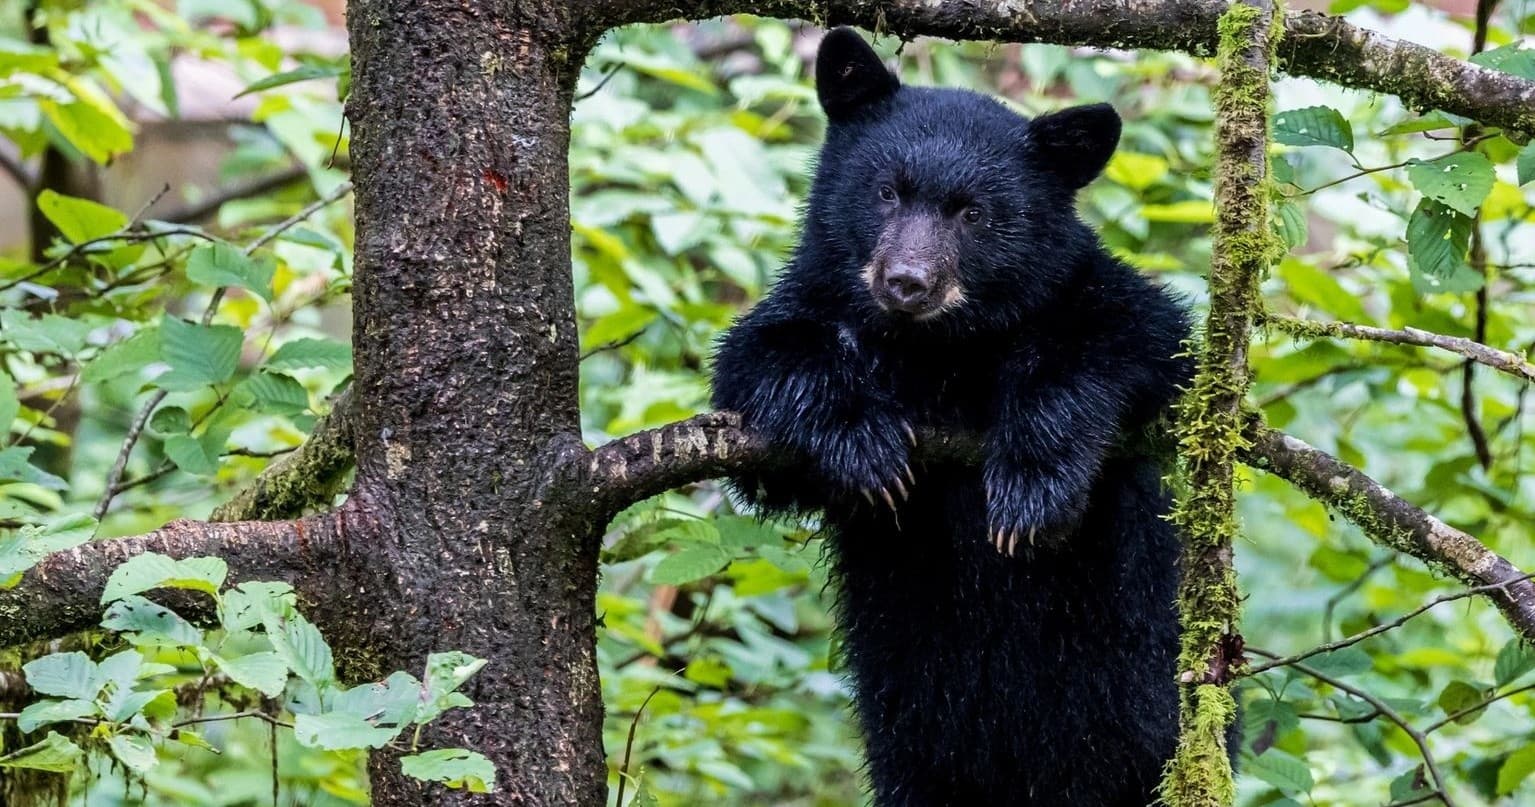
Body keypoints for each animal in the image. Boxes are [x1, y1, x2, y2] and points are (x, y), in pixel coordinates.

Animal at [709, 27, 1194, 807]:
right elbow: (763, 367)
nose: (907, 282)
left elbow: (1124, 338)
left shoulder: (1094, 299)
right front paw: (863, 447)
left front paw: (1030, 489)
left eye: (973, 213)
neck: (935, 349)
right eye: (886, 190)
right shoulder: (809, 307)